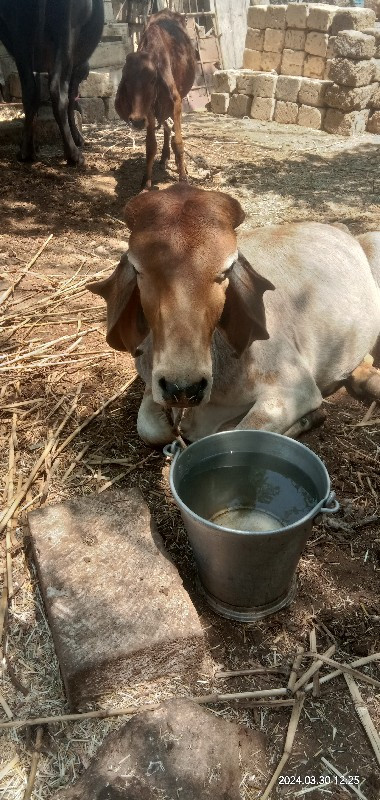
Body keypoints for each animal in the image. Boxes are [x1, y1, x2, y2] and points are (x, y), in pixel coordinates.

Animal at [0, 0, 104, 164]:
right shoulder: (77, 68)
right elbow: (71, 100)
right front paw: (77, 138)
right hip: (66, 33)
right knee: (58, 93)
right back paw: (73, 155)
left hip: (20, 36)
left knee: (29, 92)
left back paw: (26, 152)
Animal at [87, 185, 380, 446]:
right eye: (138, 269)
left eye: (226, 269)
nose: (183, 387)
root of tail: (341, 228)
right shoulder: (152, 381)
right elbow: (151, 428)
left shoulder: (296, 388)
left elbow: (242, 431)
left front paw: (310, 418)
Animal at [114, 9, 194, 189]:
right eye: (126, 80)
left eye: (152, 80)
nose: (136, 121)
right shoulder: (148, 111)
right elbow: (151, 146)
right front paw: (146, 183)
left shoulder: (176, 103)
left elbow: (178, 143)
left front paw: (183, 179)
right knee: (166, 129)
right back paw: (164, 157)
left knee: (172, 131)